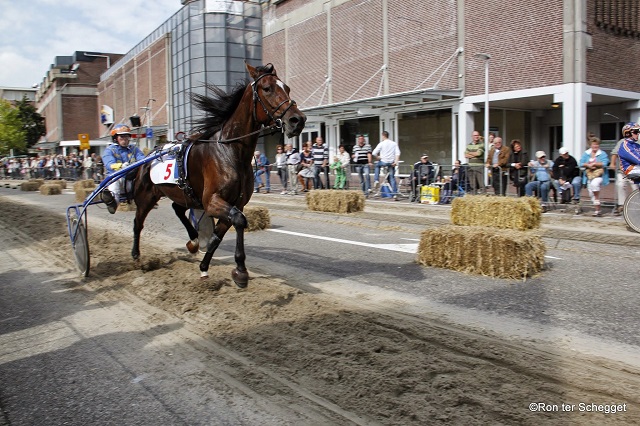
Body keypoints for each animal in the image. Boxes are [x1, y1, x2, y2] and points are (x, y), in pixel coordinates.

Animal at [130, 62, 304, 286]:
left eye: (288, 88)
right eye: (267, 88)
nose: (297, 120)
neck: (231, 151)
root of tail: (148, 155)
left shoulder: (234, 202)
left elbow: (218, 236)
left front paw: (205, 268)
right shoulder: (212, 201)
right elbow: (239, 221)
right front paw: (240, 270)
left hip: (184, 194)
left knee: (177, 209)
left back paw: (194, 240)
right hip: (146, 196)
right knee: (138, 223)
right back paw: (136, 256)